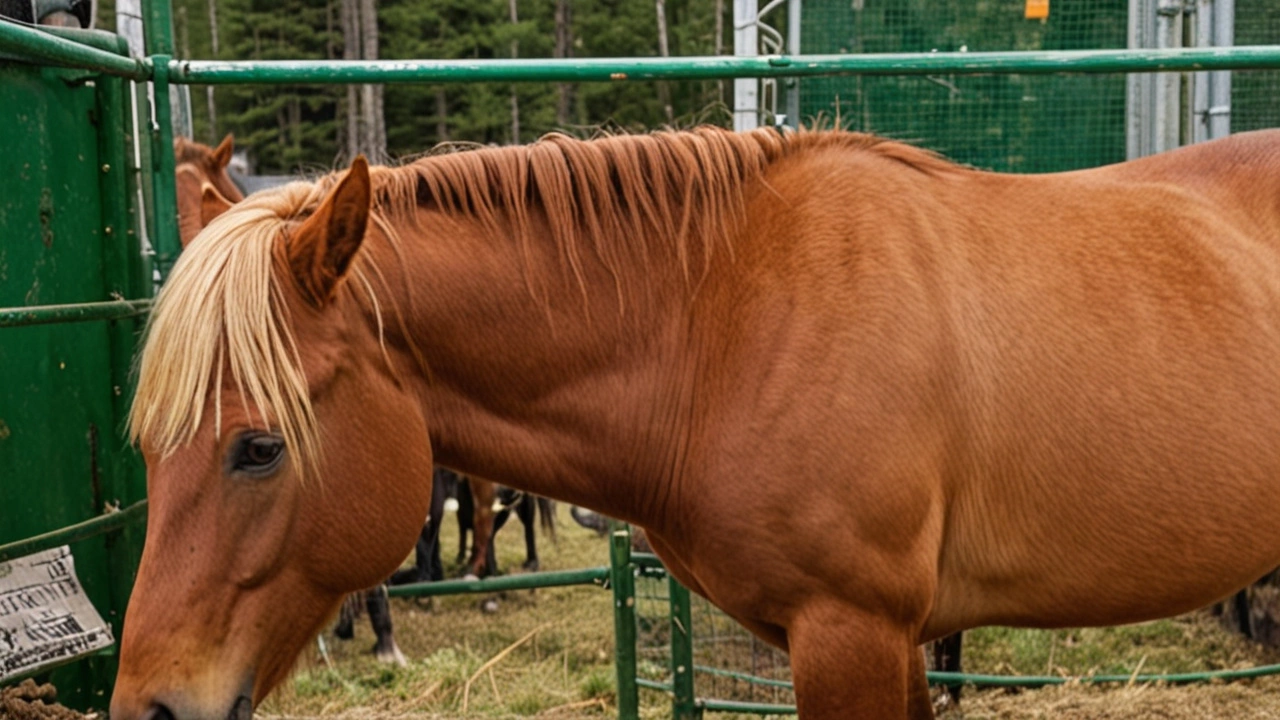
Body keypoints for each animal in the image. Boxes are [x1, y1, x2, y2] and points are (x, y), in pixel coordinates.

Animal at [115, 126, 1280, 712]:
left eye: (257, 448)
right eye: (148, 452)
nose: (151, 709)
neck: (728, 317)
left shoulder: (851, 633)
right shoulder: (893, 640)